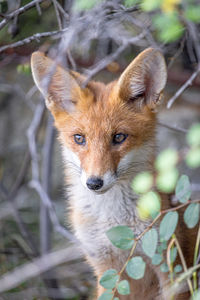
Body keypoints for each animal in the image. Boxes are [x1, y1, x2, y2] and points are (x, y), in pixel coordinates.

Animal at [31, 48, 197, 298]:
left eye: (119, 137)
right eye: (79, 138)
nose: (94, 183)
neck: (112, 222)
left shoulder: (172, 269)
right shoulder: (106, 271)